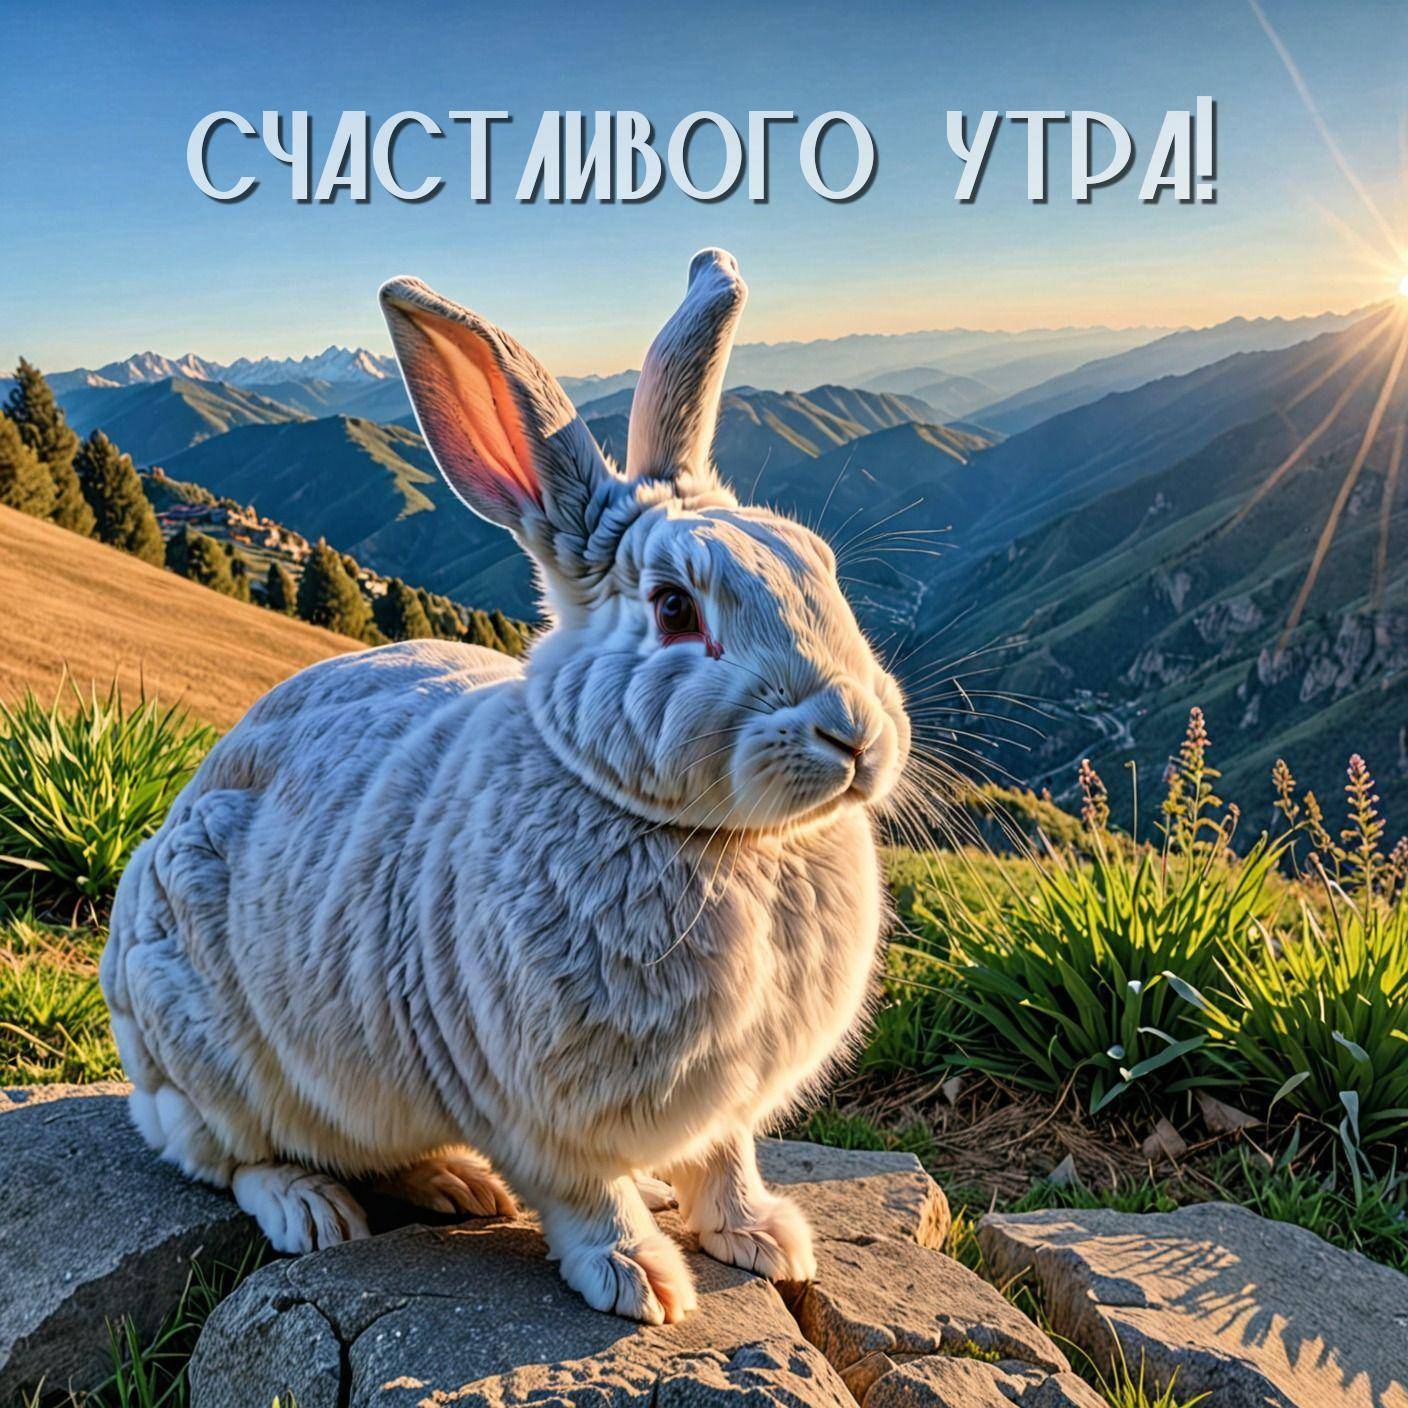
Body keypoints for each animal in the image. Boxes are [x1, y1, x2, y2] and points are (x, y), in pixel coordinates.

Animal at [99, 248, 912, 1325]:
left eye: (819, 566)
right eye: (672, 607)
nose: (854, 735)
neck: (711, 836)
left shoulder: (724, 1106)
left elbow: (726, 1162)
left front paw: (765, 1240)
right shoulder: (542, 1109)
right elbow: (586, 1196)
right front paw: (643, 1283)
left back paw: (456, 1185)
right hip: (210, 1060)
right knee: (234, 1158)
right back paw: (318, 1212)